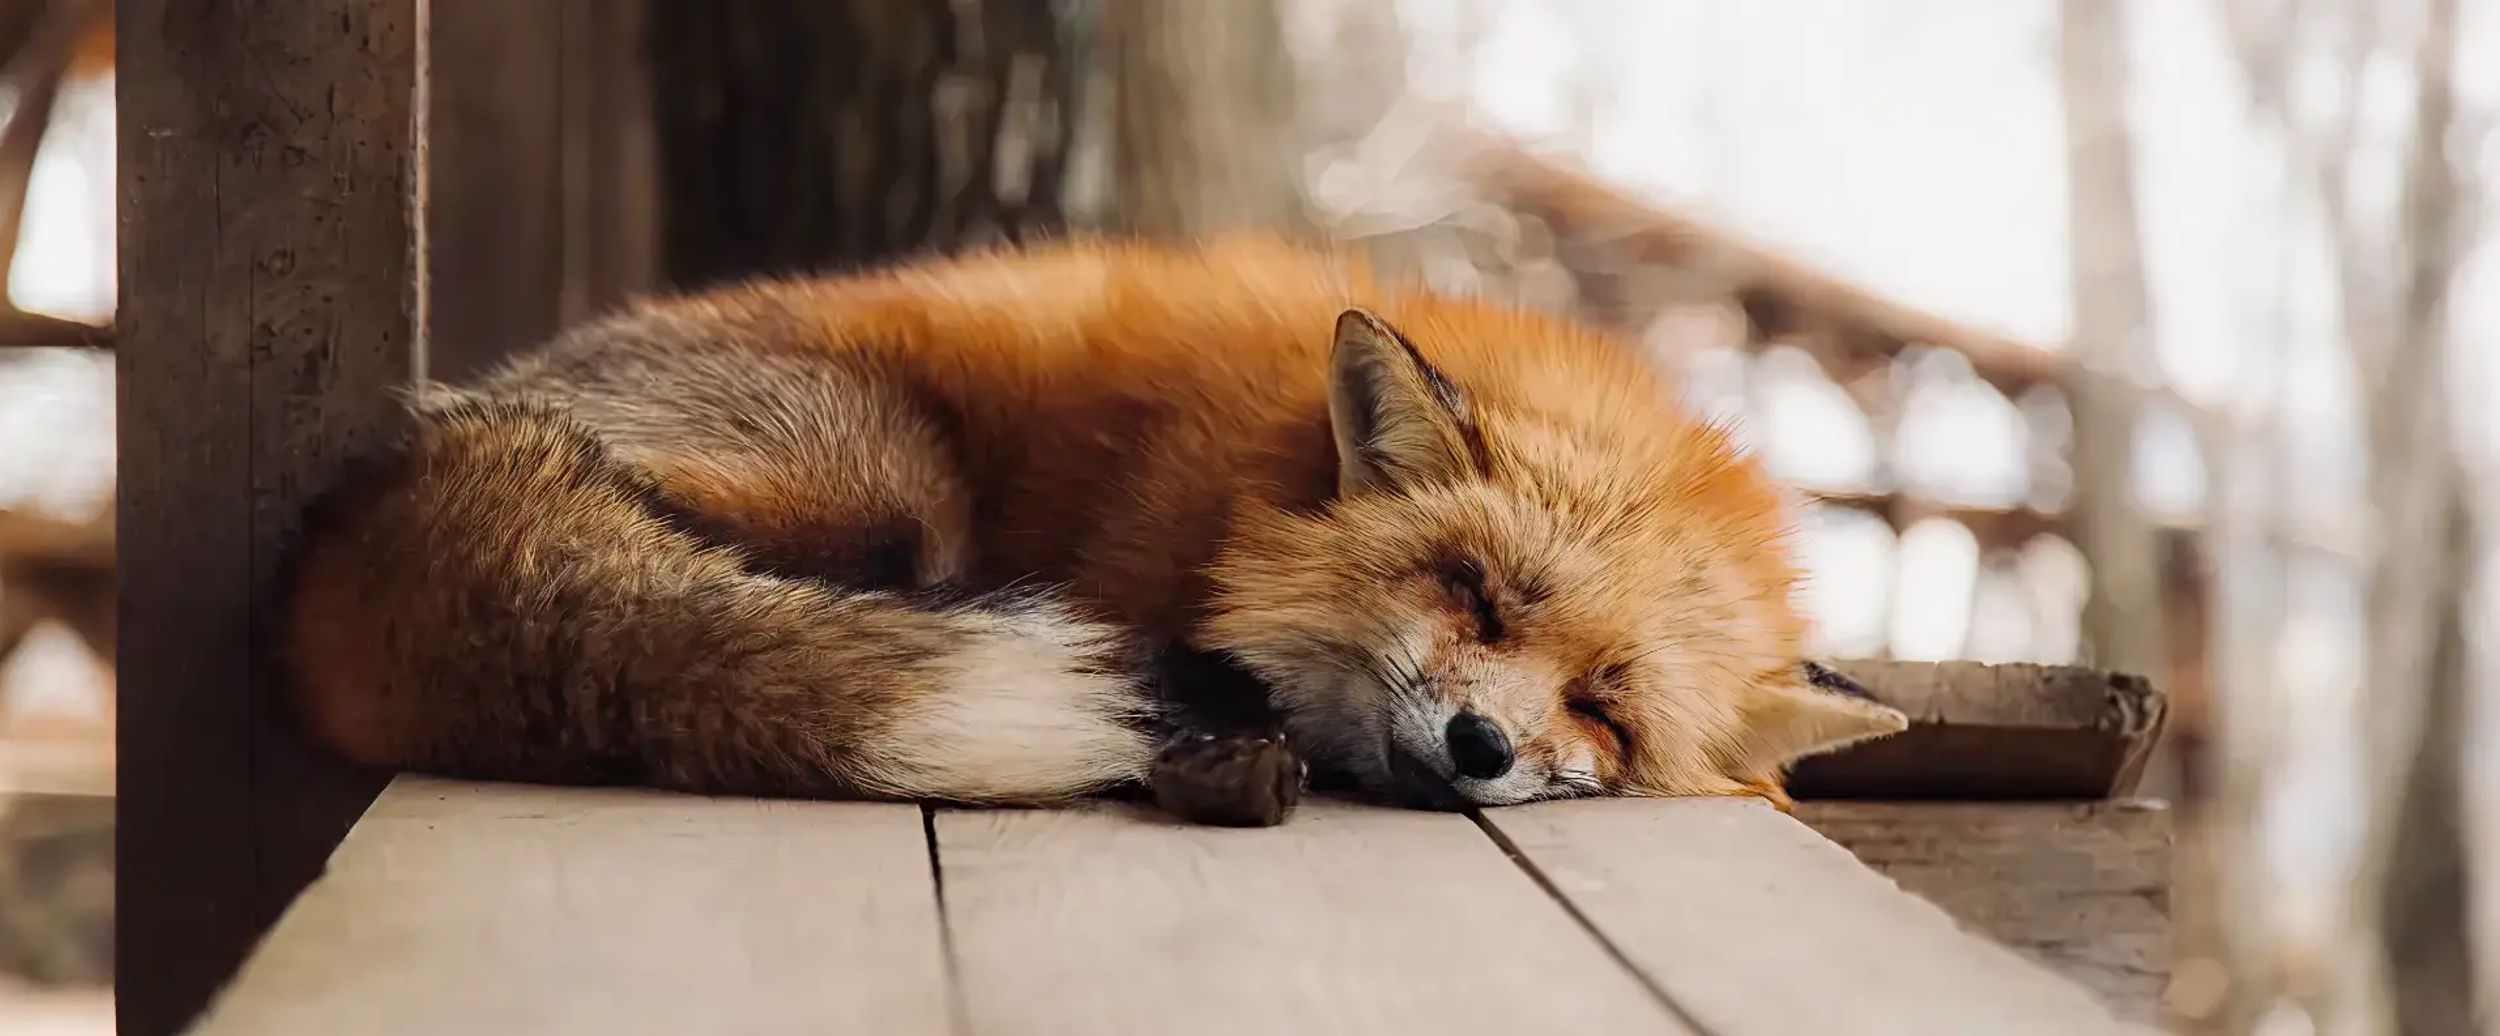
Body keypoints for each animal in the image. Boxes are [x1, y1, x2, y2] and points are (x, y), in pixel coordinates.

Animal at [281, 235, 1906, 827]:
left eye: (1606, 708)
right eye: (1475, 595)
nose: (1480, 747)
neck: (1232, 482)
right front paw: (1209, 738)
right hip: (889, 482)